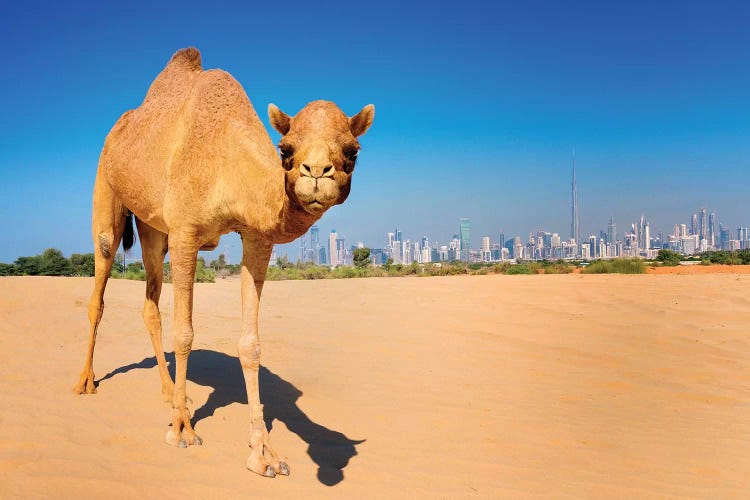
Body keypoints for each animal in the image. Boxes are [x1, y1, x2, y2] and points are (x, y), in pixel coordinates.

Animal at [72, 47, 374, 476]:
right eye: (285, 150)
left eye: (352, 151)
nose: (316, 173)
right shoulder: (185, 233)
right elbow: (185, 333)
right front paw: (182, 430)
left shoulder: (256, 239)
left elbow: (251, 344)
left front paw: (263, 453)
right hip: (107, 190)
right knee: (99, 283)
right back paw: (87, 382)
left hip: (152, 228)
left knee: (150, 303)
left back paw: (170, 393)